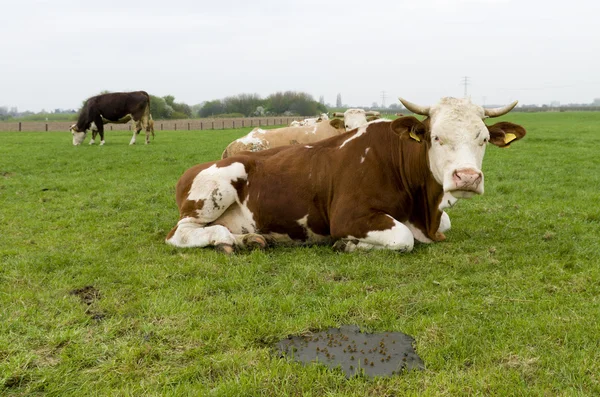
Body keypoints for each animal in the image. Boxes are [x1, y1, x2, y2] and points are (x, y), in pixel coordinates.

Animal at [164, 96, 524, 254]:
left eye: (482, 138)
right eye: (437, 137)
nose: (467, 177)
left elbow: (443, 224)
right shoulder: (348, 216)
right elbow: (403, 238)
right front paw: (348, 245)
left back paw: (249, 238)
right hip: (215, 190)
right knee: (181, 234)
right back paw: (228, 240)